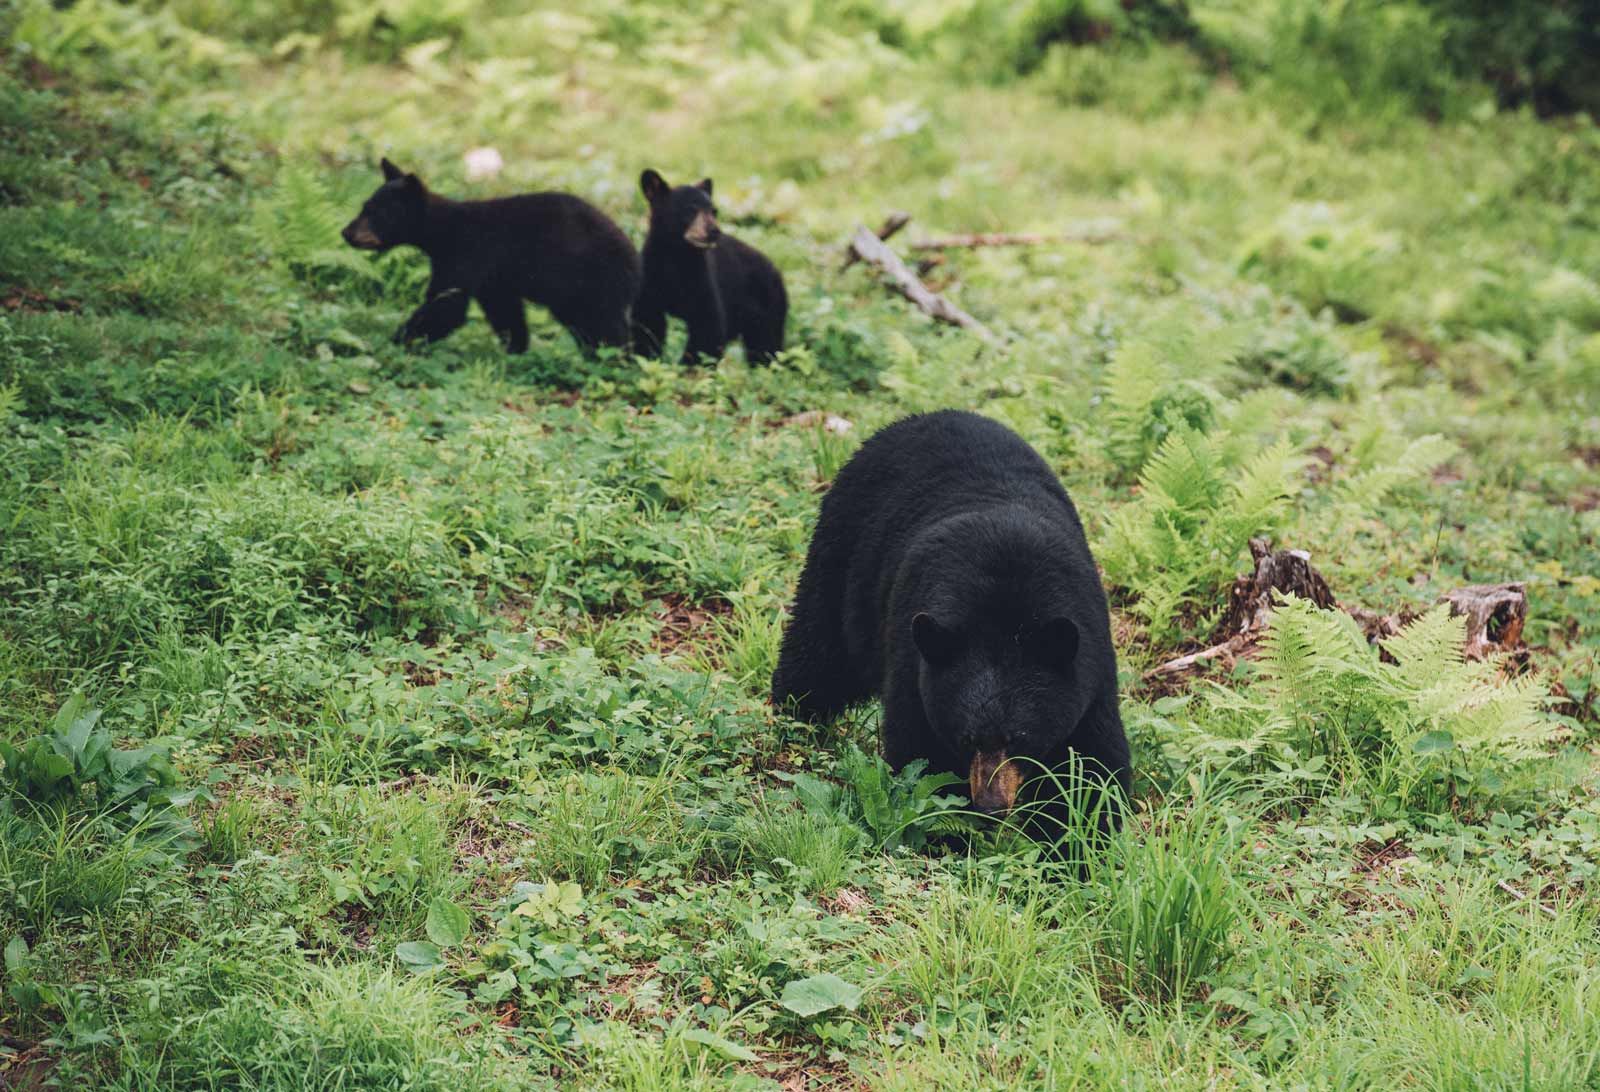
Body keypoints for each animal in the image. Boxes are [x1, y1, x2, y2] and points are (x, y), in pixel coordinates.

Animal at [340, 159, 640, 352]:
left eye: (376, 213)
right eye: (364, 206)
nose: (346, 232)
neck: (443, 231)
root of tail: (632, 253)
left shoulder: (467, 254)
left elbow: (446, 304)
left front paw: (394, 342)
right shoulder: (493, 278)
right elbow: (504, 311)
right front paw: (516, 348)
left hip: (593, 280)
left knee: (605, 324)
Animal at [633, 169, 790, 363]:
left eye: (714, 211)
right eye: (690, 209)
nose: (714, 231)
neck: (678, 256)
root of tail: (775, 269)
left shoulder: (702, 280)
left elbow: (708, 327)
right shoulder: (650, 279)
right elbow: (646, 323)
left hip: (767, 305)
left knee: (766, 347)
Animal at [771, 413, 1126, 826]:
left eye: (1020, 739)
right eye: (966, 738)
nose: (991, 805)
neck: (1005, 617)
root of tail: (923, 417)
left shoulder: (1089, 664)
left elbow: (1093, 761)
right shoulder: (917, 663)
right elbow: (920, 757)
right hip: (844, 550)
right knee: (821, 646)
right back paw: (793, 714)